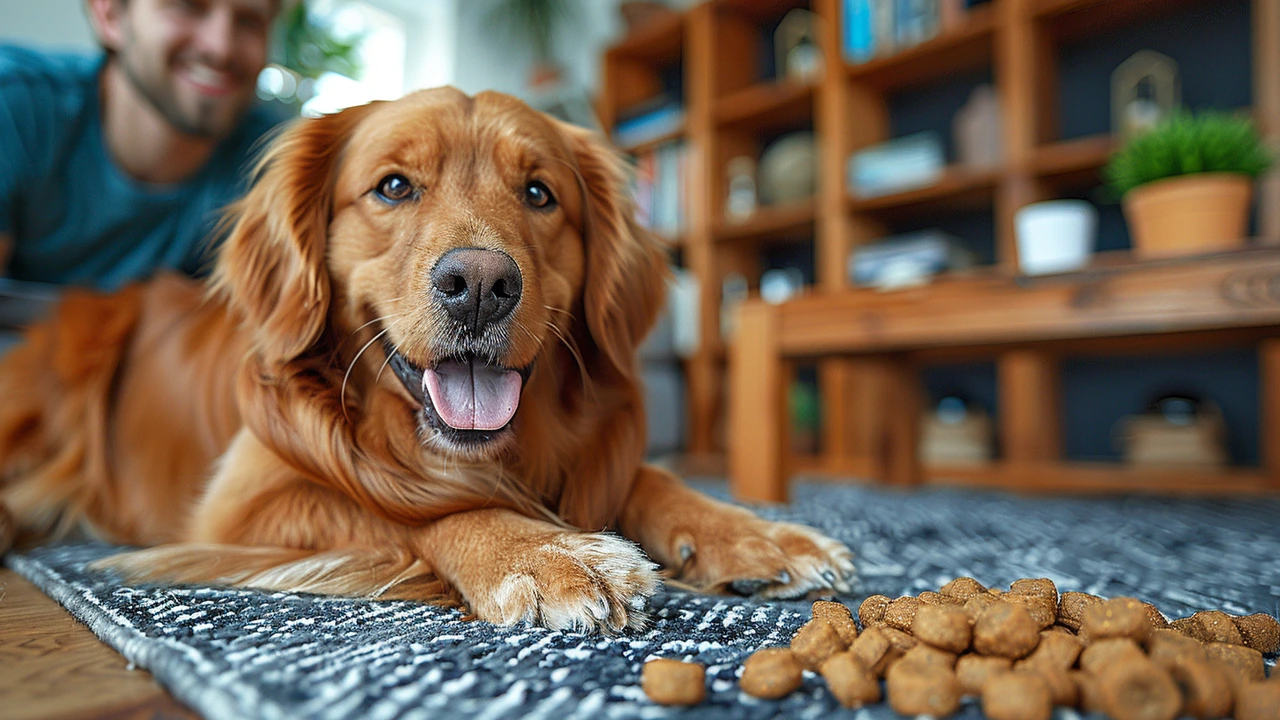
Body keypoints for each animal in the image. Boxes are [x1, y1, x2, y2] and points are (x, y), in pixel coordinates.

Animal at [5, 88, 855, 627]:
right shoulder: (240, 504)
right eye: (392, 186)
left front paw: (753, 534)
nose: (479, 286)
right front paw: (542, 551)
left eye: (540, 194)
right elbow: (406, 505)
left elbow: (652, 476)